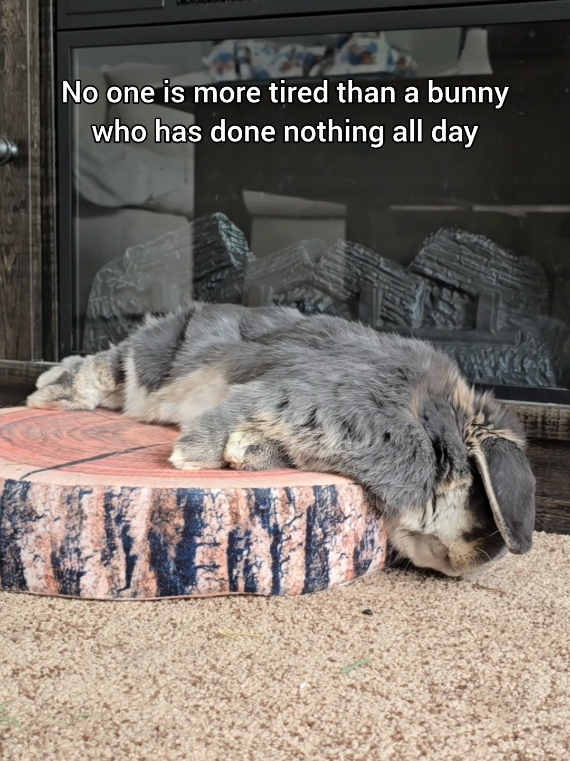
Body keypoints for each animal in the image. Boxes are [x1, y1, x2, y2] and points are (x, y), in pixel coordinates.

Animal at [27, 302, 536, 578]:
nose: (464, 563)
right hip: (153, 362)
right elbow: (237, 411)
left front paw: (244, 451)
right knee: (105, 366)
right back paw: (47, 393)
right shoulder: (304, 395)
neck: (427, 418)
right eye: (478, 500)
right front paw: (191, 455)